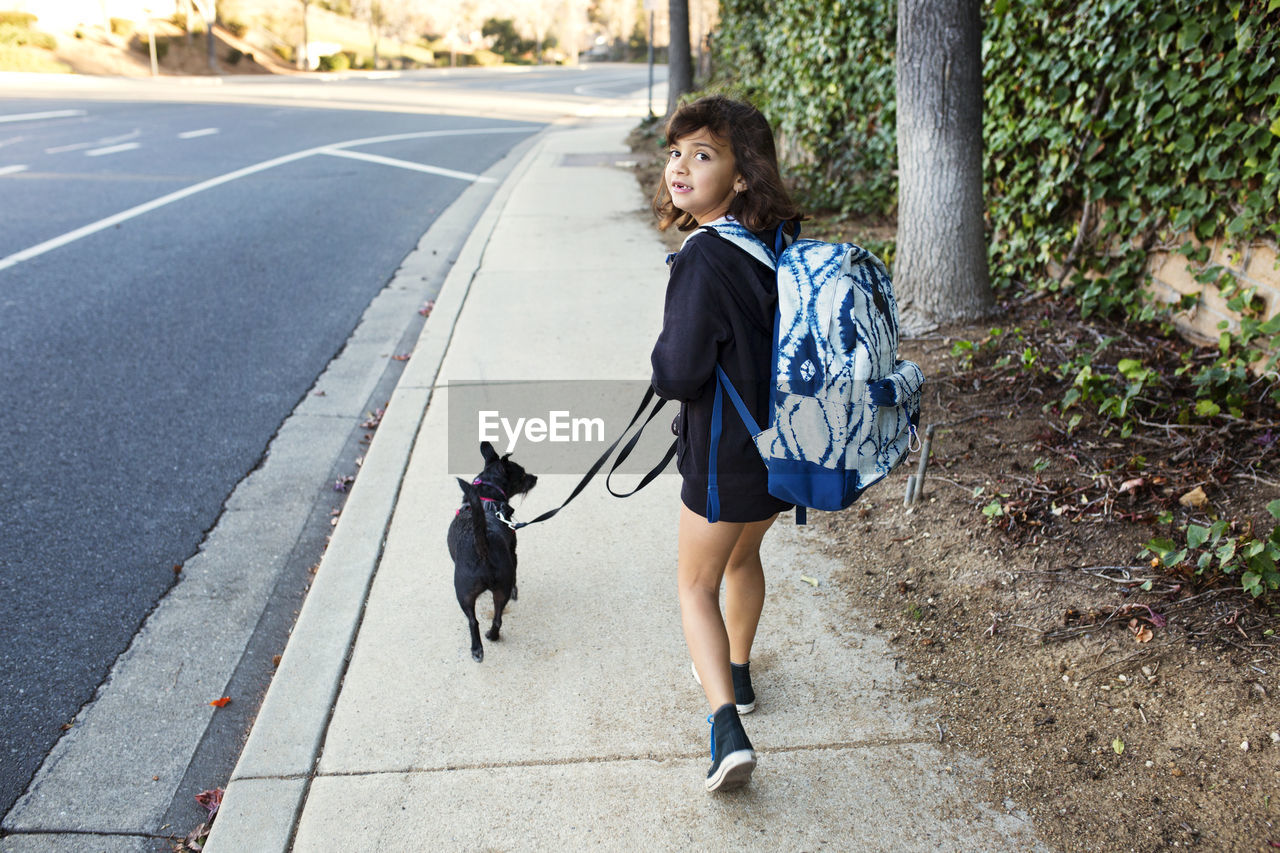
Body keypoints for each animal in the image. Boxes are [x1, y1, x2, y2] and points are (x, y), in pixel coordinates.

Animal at [448, 440, 537, 660]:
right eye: (522, 475)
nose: (535, 477)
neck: (486, 496)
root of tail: (483, 547)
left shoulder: (513, 552)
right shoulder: (513, 555)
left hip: (466, 593)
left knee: (474, 621)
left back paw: (479, 646)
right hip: (493, 591)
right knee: (495, 619)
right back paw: (488, 639)